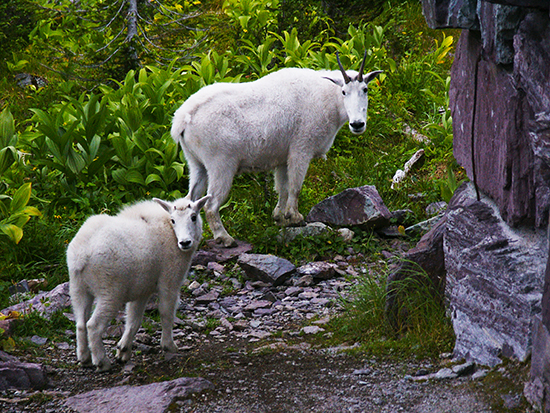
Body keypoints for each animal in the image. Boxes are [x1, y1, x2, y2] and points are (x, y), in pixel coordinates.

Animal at [172, 51, 384, 245]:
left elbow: (282, 187)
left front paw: (280, 218)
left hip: (195, 163)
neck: (328, 97)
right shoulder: (301, 149)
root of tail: (183, 118)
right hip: (220, 164)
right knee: (211, 205)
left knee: (191, 199)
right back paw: (225, 238)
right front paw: (295, 217)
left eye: (365, 89)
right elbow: (295, 186)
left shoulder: (282, 157)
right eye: (344, 92)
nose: (357, 124)